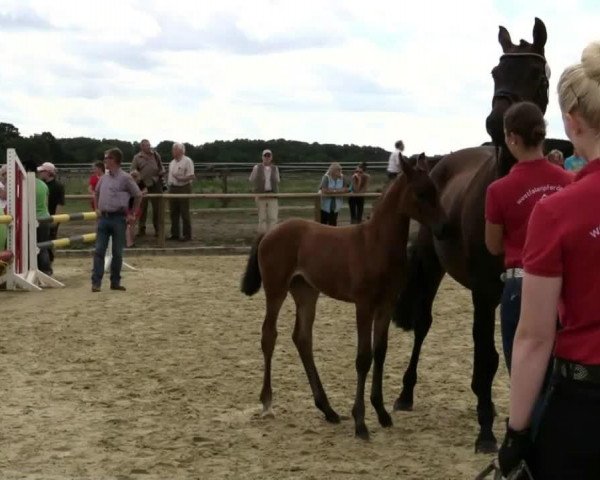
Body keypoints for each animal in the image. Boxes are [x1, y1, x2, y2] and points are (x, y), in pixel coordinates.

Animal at [240, 156, 446, 440]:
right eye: (420, 193)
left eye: (435, 190)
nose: (445, 227)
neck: (376, 243)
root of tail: (269, 232)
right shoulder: (364, 305)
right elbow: (363, 358)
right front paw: (360, 422)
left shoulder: (386, 305)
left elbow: (380, 352)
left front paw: (382, 413)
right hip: (276, 289)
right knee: (269, 335)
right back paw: (268, 403)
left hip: (306, 292)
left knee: (302, 338)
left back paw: (328, 409)